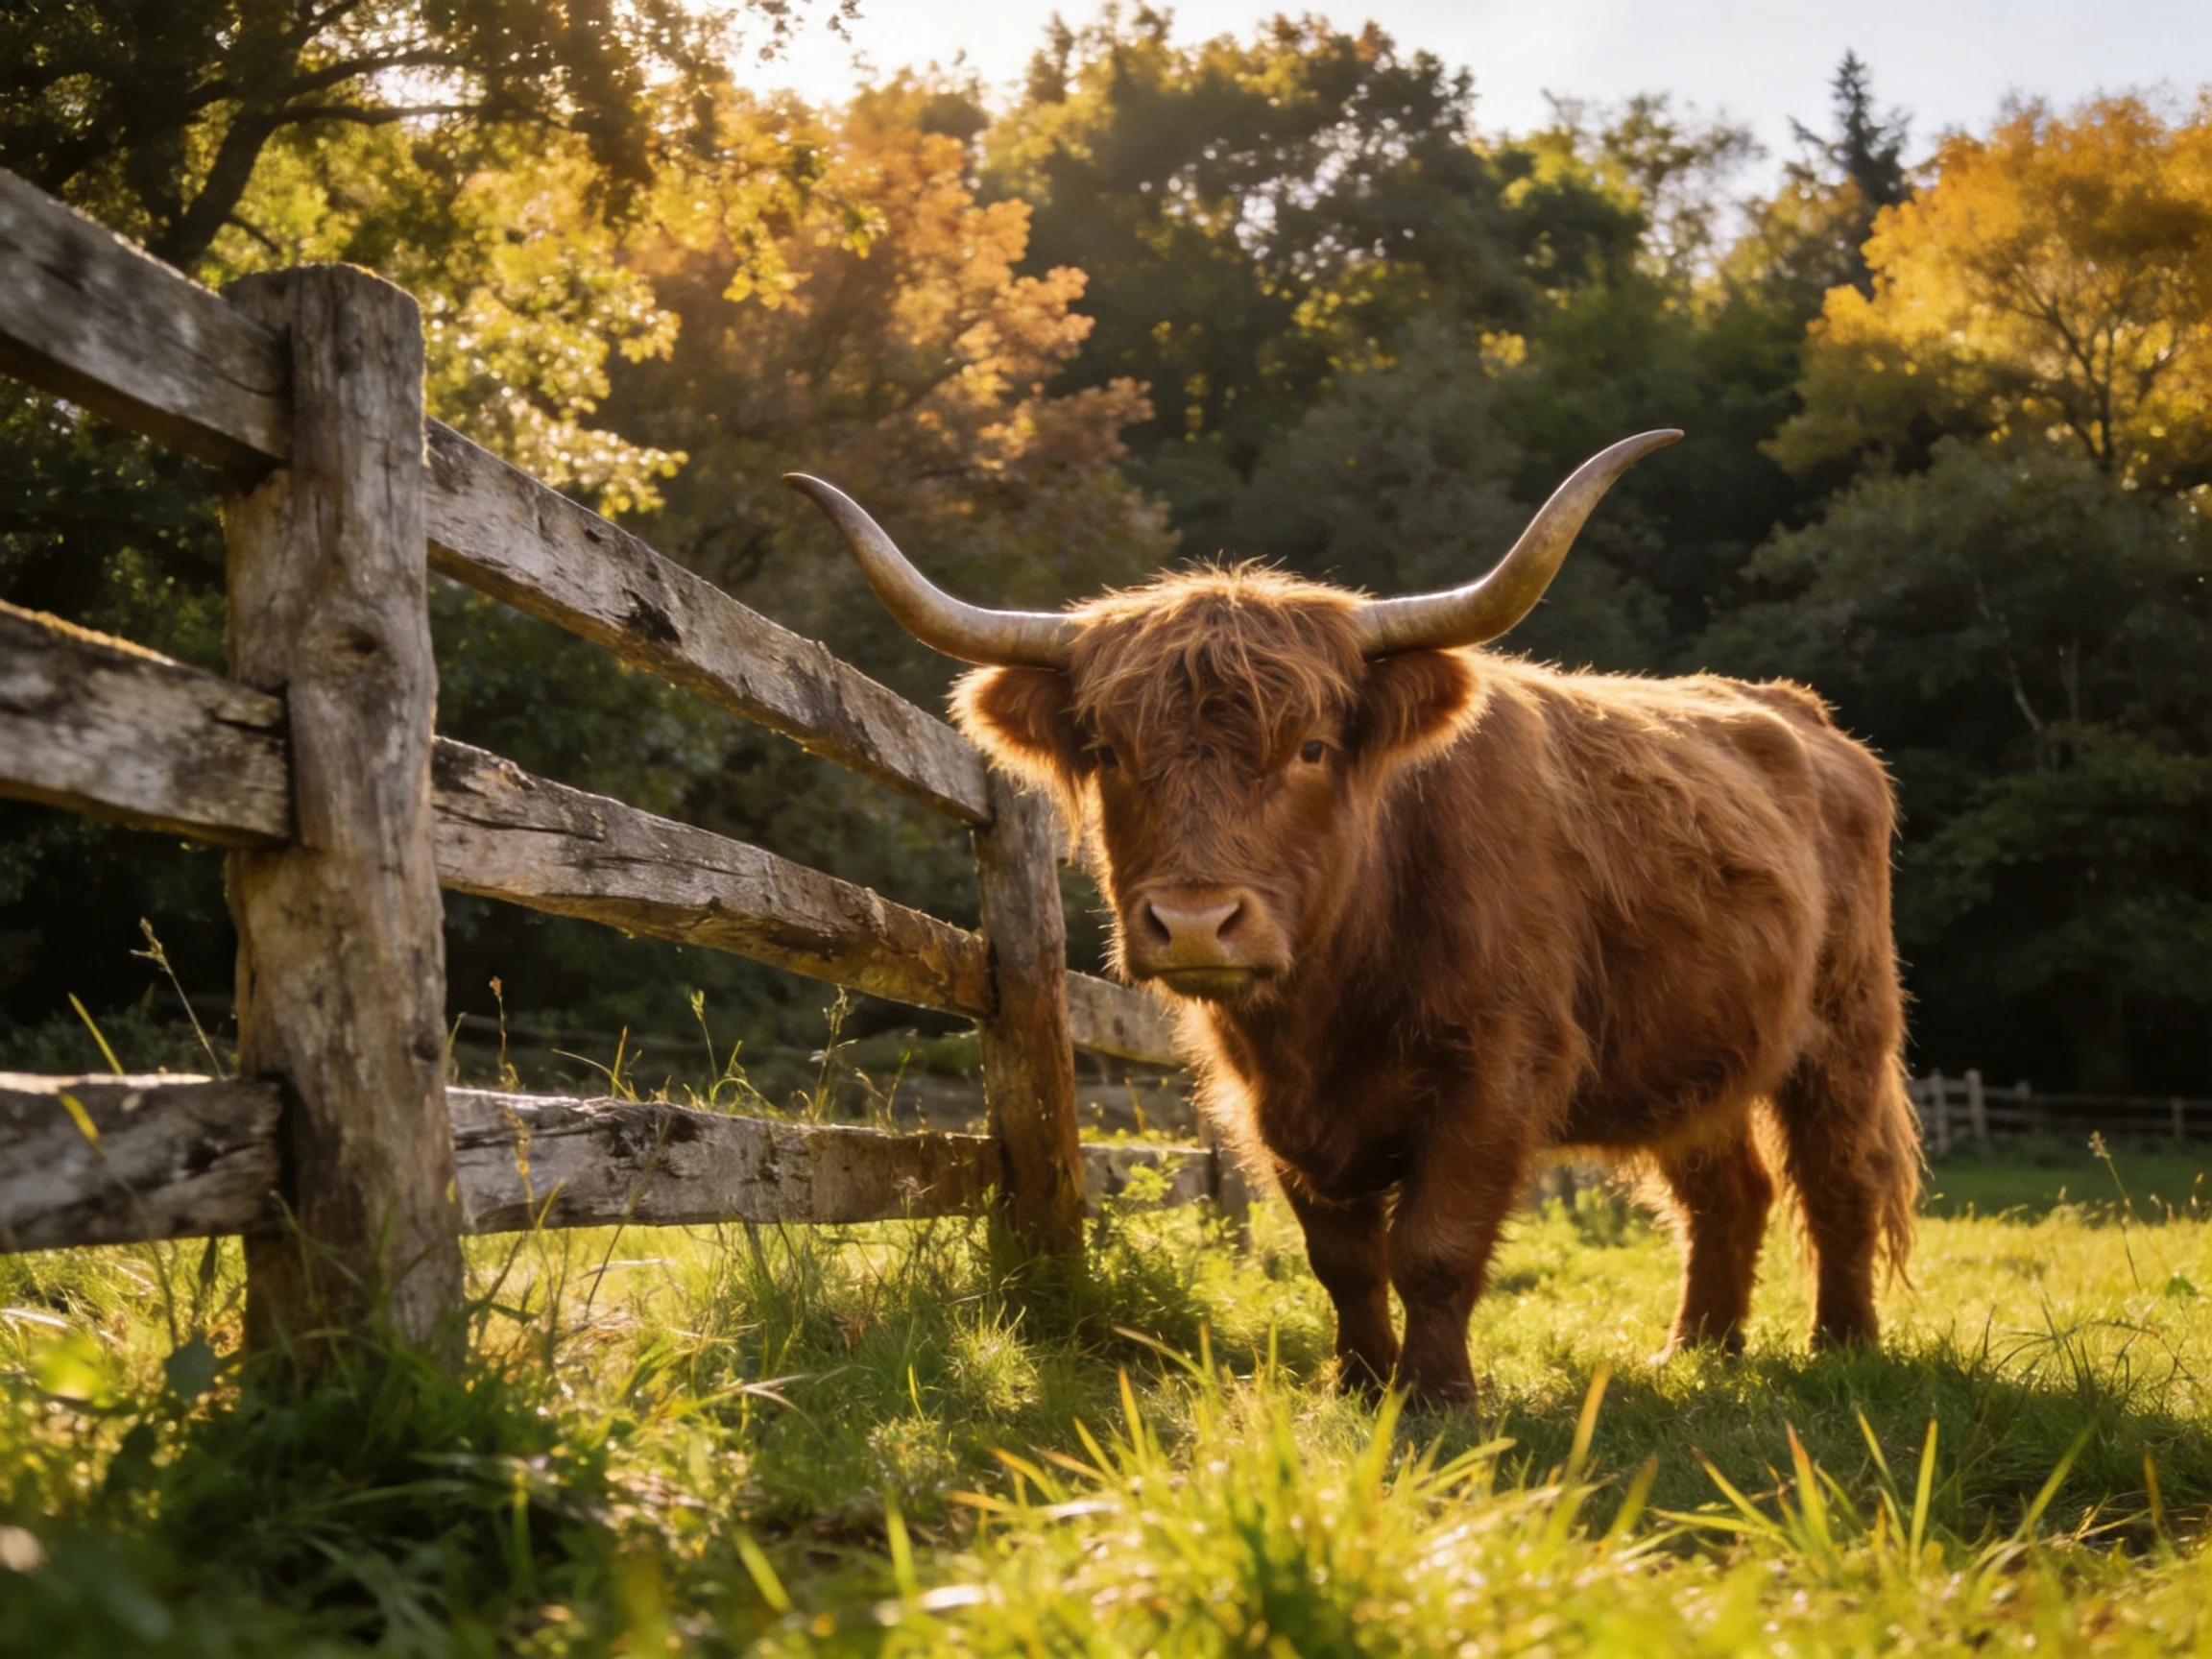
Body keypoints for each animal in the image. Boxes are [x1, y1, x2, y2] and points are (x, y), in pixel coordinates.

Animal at [787, 431, 1920, 1406]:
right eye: (1108, 751)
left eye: (1312, 747)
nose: (1194, 922)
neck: (1334, 996)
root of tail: (1810, 720)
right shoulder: (1277, 1104)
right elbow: (1341, 1257)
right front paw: (1362, 1383)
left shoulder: (1499, 1066)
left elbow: (1434, 1246)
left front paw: (1438, 1397)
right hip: (1696, 1047)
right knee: (1726, 1192)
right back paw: (1697, 1351)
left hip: (1845, 1026)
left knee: (1840, 1178)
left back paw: (1842, 1346)